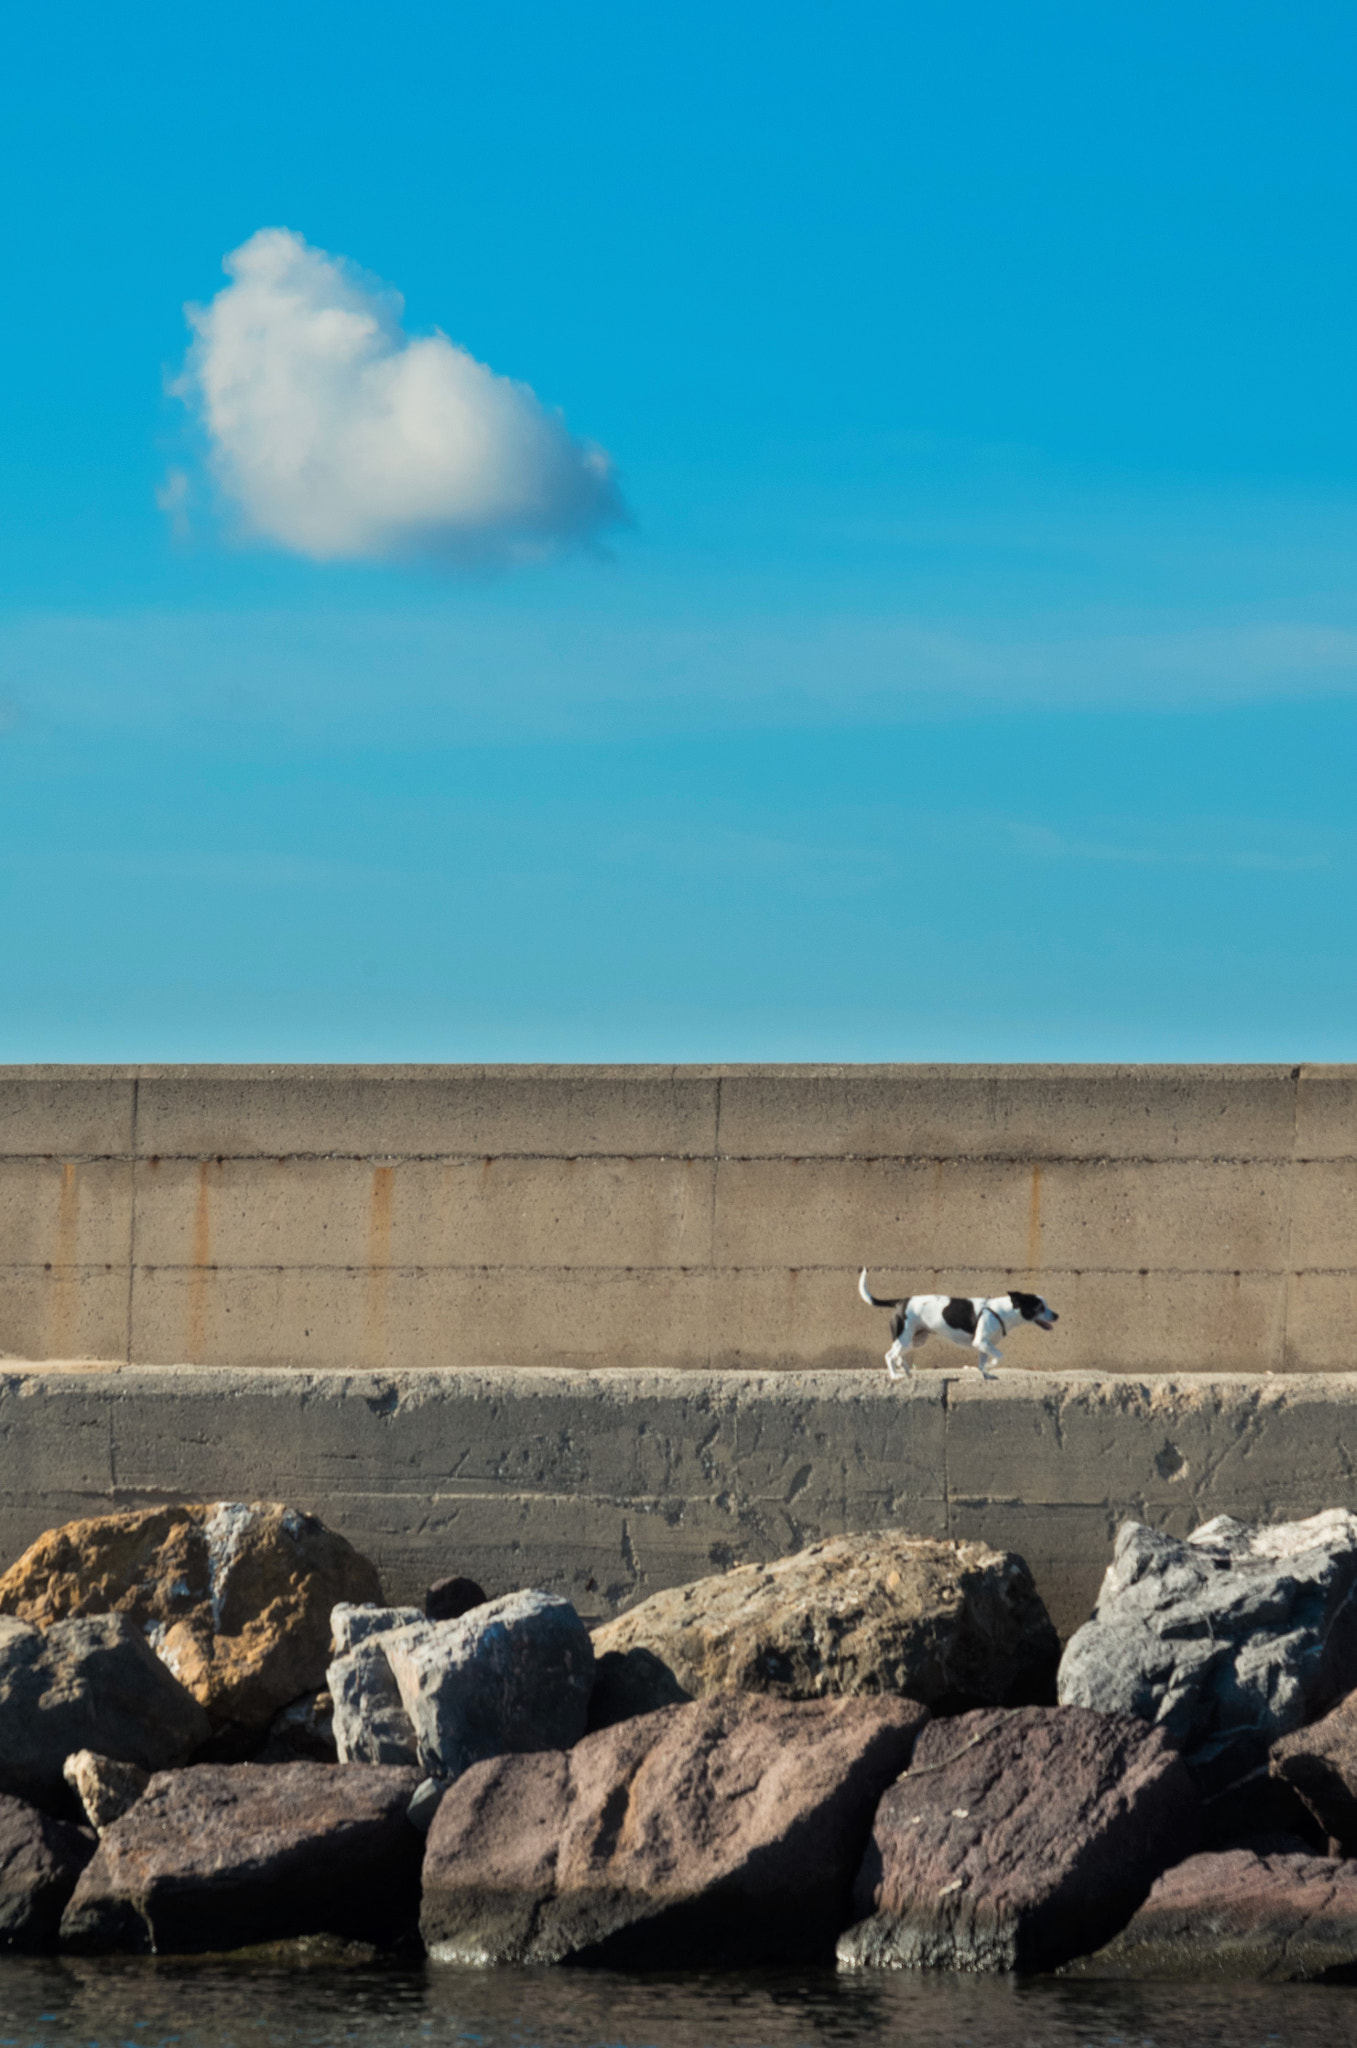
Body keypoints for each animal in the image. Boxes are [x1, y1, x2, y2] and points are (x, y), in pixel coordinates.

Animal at [859, 1269, 1064, 1384]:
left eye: (1046, 1305)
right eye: (1039, 1307)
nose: (1057, 1315)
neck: (1002, 1310)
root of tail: (900, 1301)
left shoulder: (983, 1345)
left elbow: (982, 1363)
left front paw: (987, 1374)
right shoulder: (981, 1342)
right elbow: (999, 1356)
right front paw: (992, 1365)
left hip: (915, 1340)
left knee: (899, 1355)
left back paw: (905, 1369)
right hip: (904, 1337)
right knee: (890, 1355)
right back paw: (895, 1375)